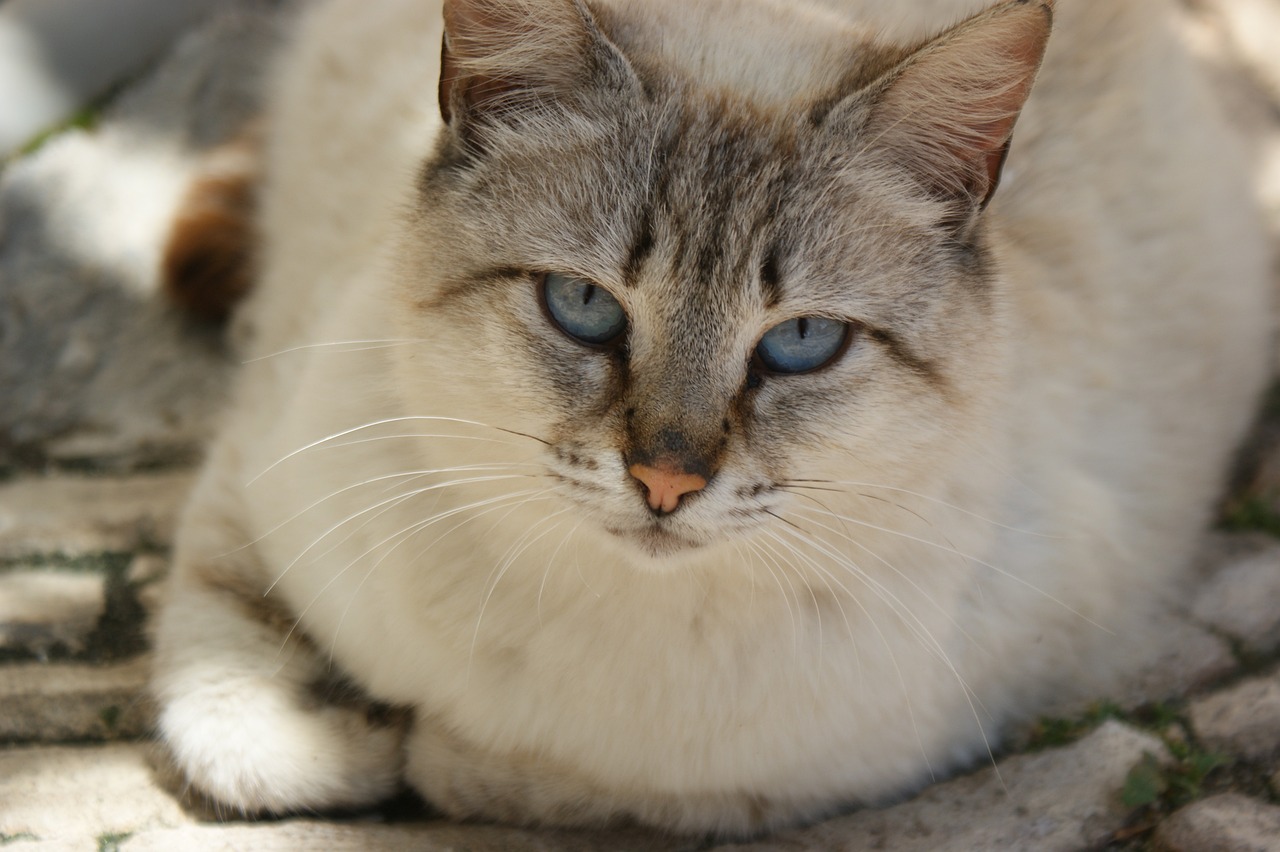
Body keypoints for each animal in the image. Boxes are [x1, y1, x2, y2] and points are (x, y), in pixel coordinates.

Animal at [147, 0, 1269, 834]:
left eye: (802, 342)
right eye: (583, 306)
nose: (666, 482)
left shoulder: (900, 737)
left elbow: (570, 782)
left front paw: (428, 749)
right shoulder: (257, 460)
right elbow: (229, 688)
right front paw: (342, 739)